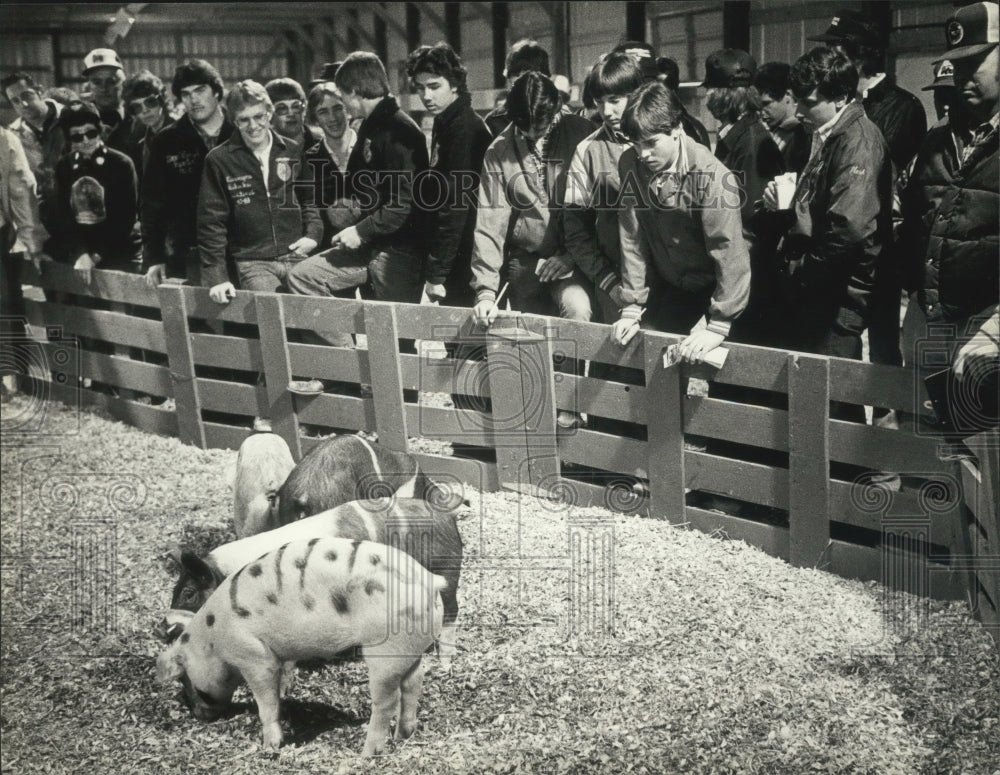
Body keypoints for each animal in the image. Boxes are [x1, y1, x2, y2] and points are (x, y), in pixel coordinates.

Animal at [154, 536, 444, 756]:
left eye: (186, 680)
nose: (198, 715)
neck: (213, 639)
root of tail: (430, 580)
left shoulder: (253, 655)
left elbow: (265, 701)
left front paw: (270, 747)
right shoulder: (278, 656)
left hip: (384, 649)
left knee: (387, 700)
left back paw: (366, 753)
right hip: (409, 648)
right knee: (413, 681)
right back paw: (402, 736)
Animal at [164, 500, 464, 668]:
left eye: (189, 593)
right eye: (174, 590)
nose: (164, 628)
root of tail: (447, 517)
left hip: (448, 570)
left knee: (452, 612)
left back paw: (443, 663)